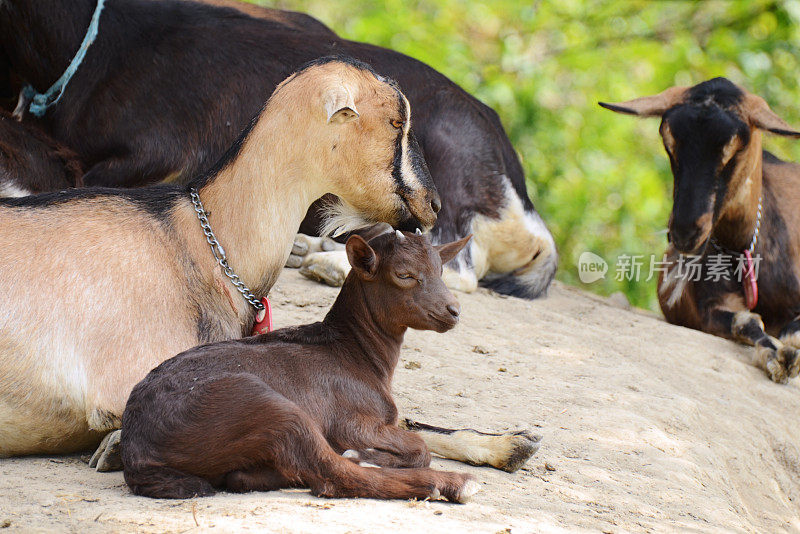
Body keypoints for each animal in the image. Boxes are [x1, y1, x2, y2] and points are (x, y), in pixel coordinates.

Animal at [119, 229, 482, 502]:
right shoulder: (352, 421)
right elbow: (420, 446)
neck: (355, 351)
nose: (453, 310)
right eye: (404, 275)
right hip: (262, 405)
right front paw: (362, 454)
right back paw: (453, 484)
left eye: (440, 270)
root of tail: (137, 450)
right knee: (332, 476)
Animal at [604, 77, 800, 384]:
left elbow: (792, 329)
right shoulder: (705, 309)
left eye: (735, 150)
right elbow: (746, 320)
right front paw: (778, 357)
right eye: (668, 143)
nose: (685, 234)